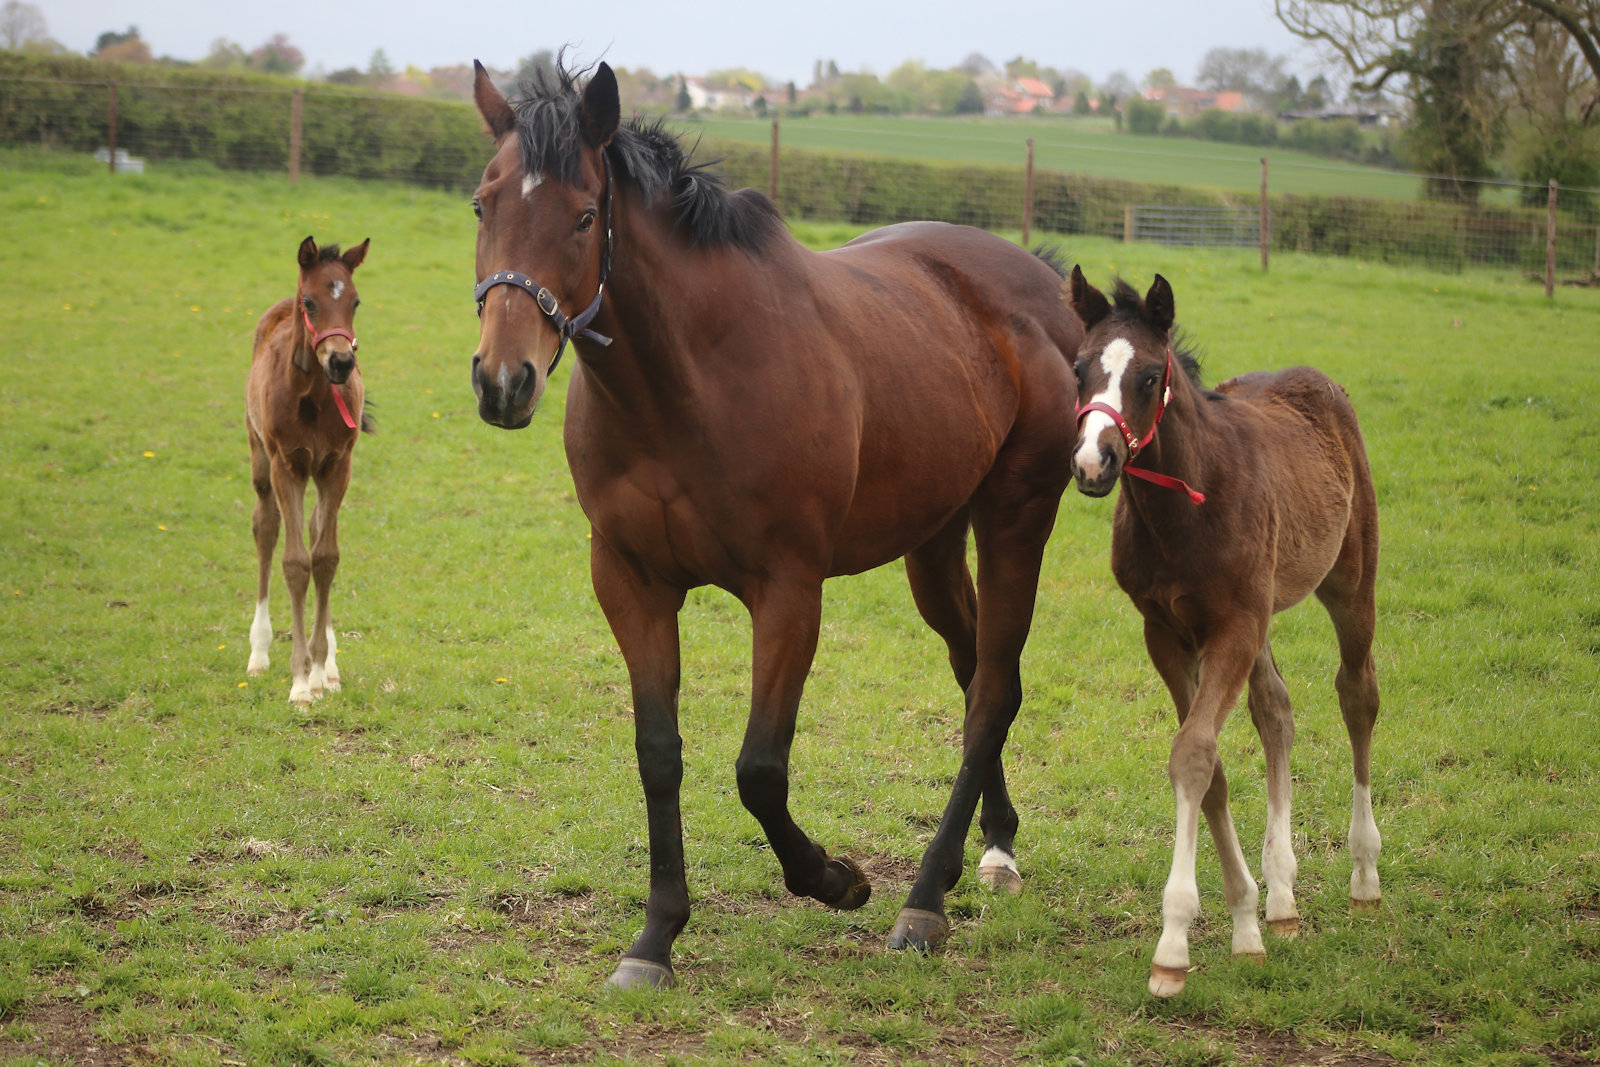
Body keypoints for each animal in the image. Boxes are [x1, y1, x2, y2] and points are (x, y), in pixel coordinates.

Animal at [245, 235, 371, 706]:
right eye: (311, 303)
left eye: (355, 302)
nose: (341, 363)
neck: (314, 398)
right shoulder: (288, 465)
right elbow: (296, 562)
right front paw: (300, 681)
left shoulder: (338, 465)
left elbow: (325, 558)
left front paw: (319, 670)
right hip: (261, 458)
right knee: (265, 527)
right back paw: (259, 653)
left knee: (317, 529)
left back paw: (329, 666)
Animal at [467, 58, 1083, 988]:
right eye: (483, 204)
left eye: (581, 215)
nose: (504, 381)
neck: (692, 378)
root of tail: (1043, 284)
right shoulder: (631, 582)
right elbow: (658, 753)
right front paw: (655, 937)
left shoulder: (789, 591)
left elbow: (759, 769)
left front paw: (836, 878)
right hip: (934, 543)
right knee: (977, 667)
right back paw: (996, 844)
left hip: (1015, 520)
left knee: (993, 692)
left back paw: (924, 901)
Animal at [1065, 268, 1382, 998]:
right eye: (1078, 368)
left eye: (1150, 375)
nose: (1093, 462)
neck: (1187, 501)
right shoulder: (1167, 631)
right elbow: (1208, 767)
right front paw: (1246, 922)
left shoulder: (1232, 625)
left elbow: (1193, 754)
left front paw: (1173, 945)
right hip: (1261, 614)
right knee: (1277, 710)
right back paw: (1284, 897)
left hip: (1349, 582)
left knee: (1357, 694)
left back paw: (1364, 874)